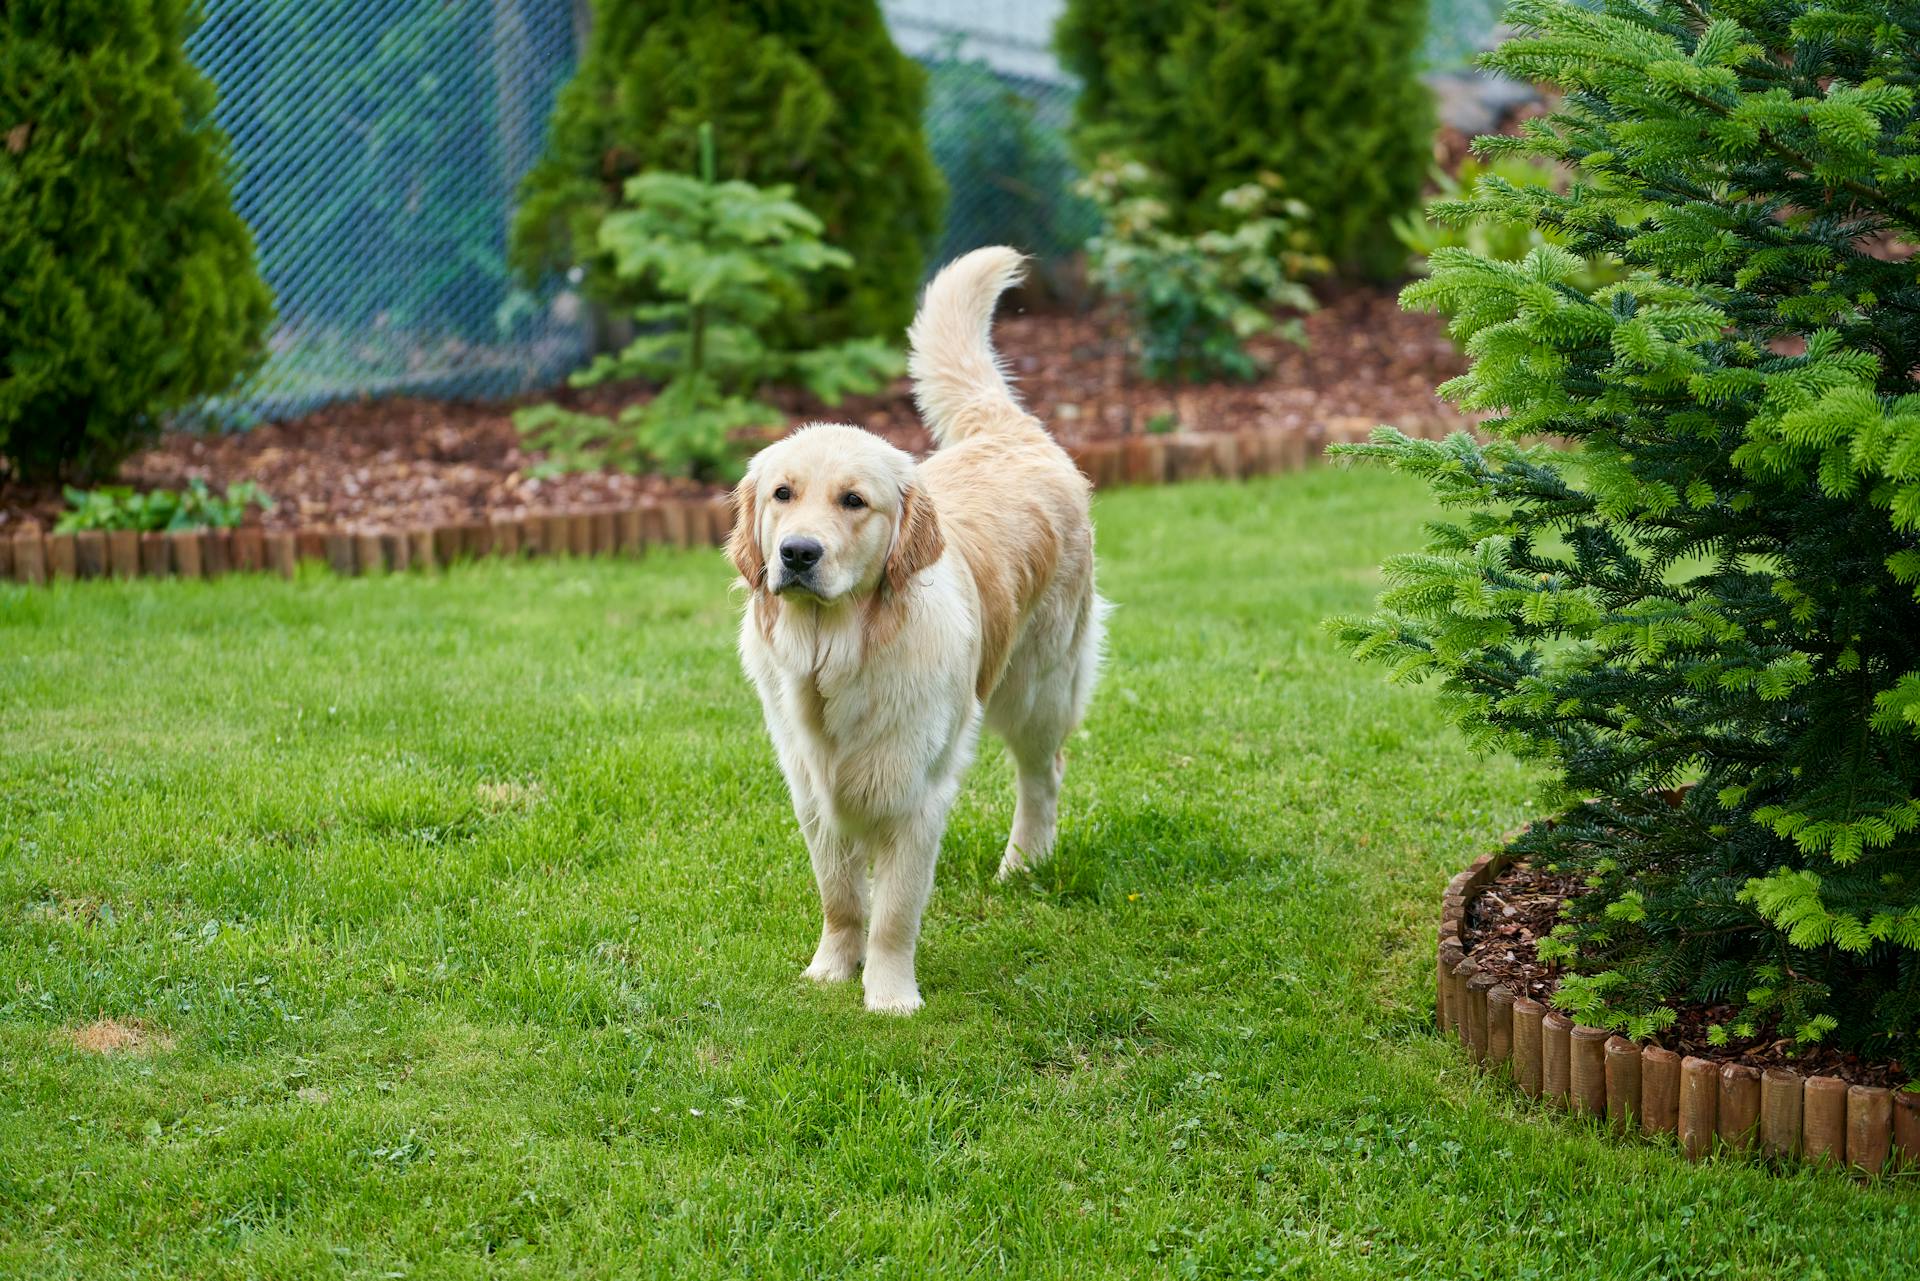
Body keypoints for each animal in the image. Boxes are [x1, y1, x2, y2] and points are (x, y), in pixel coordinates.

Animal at [725, 245, 1105, 1014]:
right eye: (782, 494)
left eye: (854, 501)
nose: (797, 554)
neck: (837, 656)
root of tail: (1009, 430)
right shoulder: (812, 793)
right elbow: (842, 898)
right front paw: (831, 970)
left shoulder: (915, 796)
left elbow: (895, 910)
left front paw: (890, 995)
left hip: (1038, 684)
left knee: (1042, 772)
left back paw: (1024, 863)